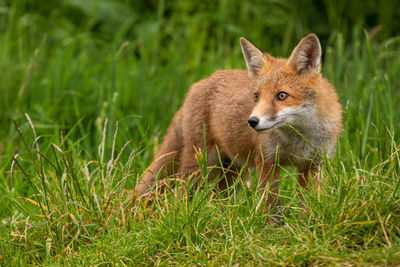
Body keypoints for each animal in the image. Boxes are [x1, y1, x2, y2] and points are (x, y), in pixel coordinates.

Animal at [137, 34, 340, 213]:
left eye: (282, 95)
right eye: (256, 96)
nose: (252, 121)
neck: (298, 138)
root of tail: (197, 85)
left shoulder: (312, 165)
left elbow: (307, 204)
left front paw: (307, 224)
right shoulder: (266, 161)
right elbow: (271, 206)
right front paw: (271, 230)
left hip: (235, 172)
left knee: (217, 196)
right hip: (201, 163)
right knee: (180, 192)